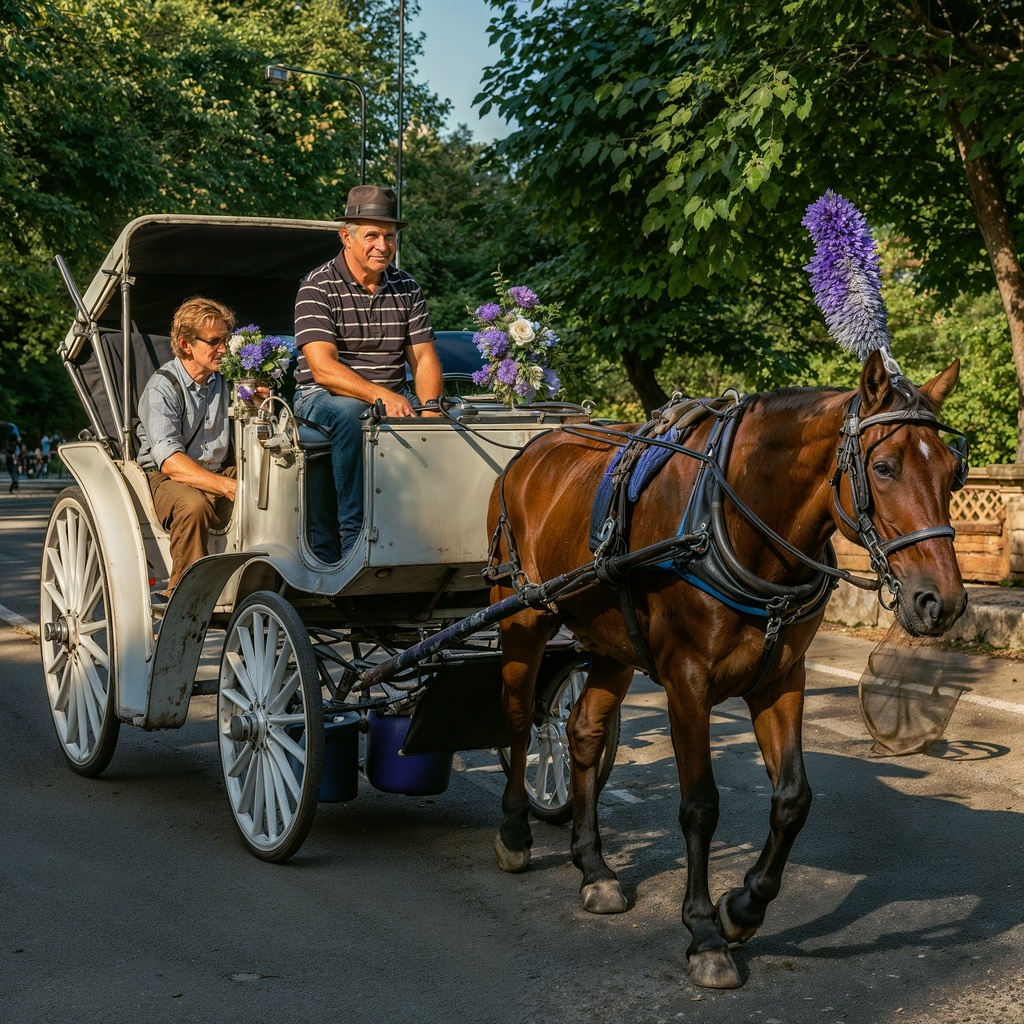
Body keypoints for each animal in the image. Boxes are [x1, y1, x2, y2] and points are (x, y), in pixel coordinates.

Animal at [486, 352, 967, 989]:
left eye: (953, 472)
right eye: (884, 467)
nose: (942, 602)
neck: (732, 521)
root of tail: (533, 448)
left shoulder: (782, 678)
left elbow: (793, 799)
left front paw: (743, 908)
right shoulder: (686, 681)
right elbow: (700, 806)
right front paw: (705, 933)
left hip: (612, 640)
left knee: (582, 731)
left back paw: (594, 868)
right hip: (522, 615)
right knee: (519, 720)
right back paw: (515, 831)